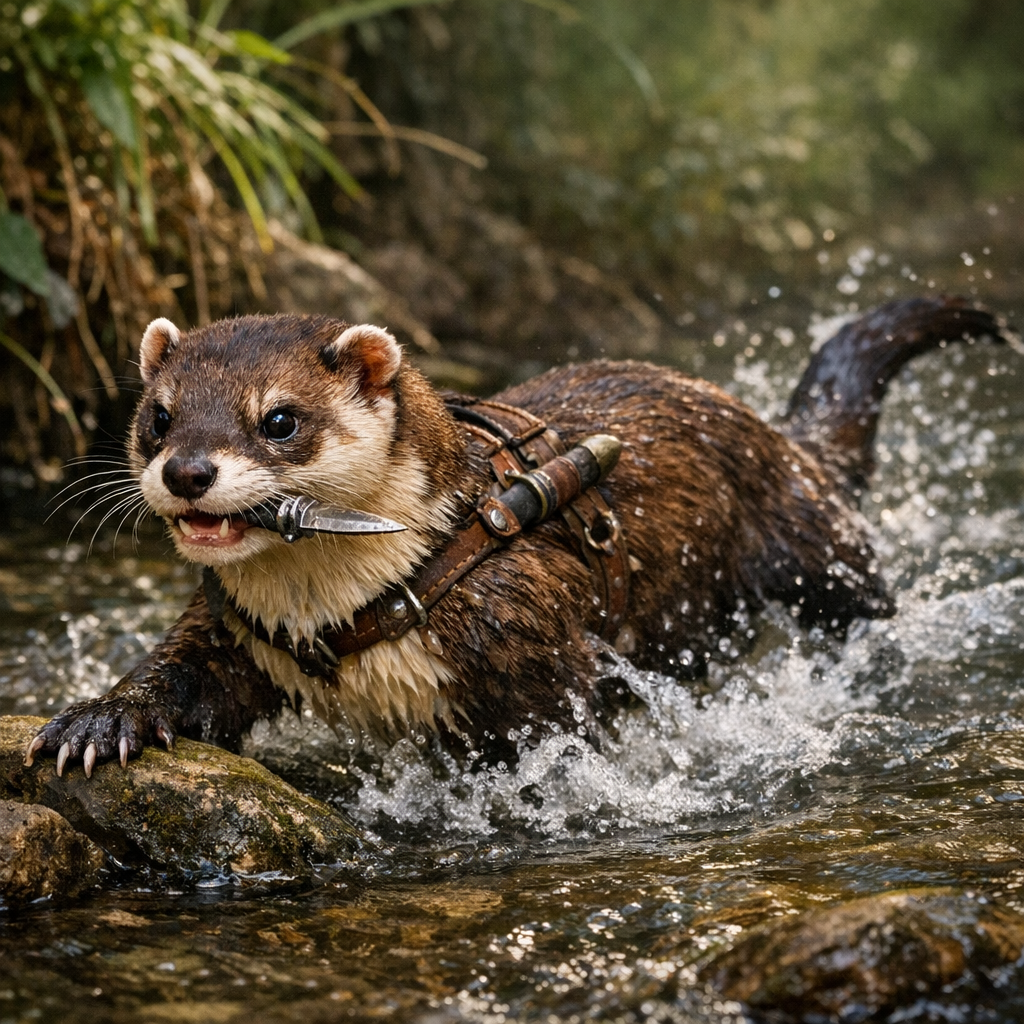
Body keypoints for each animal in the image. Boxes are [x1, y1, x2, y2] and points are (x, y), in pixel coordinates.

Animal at [25, 297, 1003, 775]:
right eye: (157, 415)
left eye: (280, 418)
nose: (188, 470)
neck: (339, 614)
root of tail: (781, 436)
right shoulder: (231, 629)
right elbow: (171, 678)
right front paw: (94, 723)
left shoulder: (532, 637)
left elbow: (557, 736)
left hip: (816, 549)